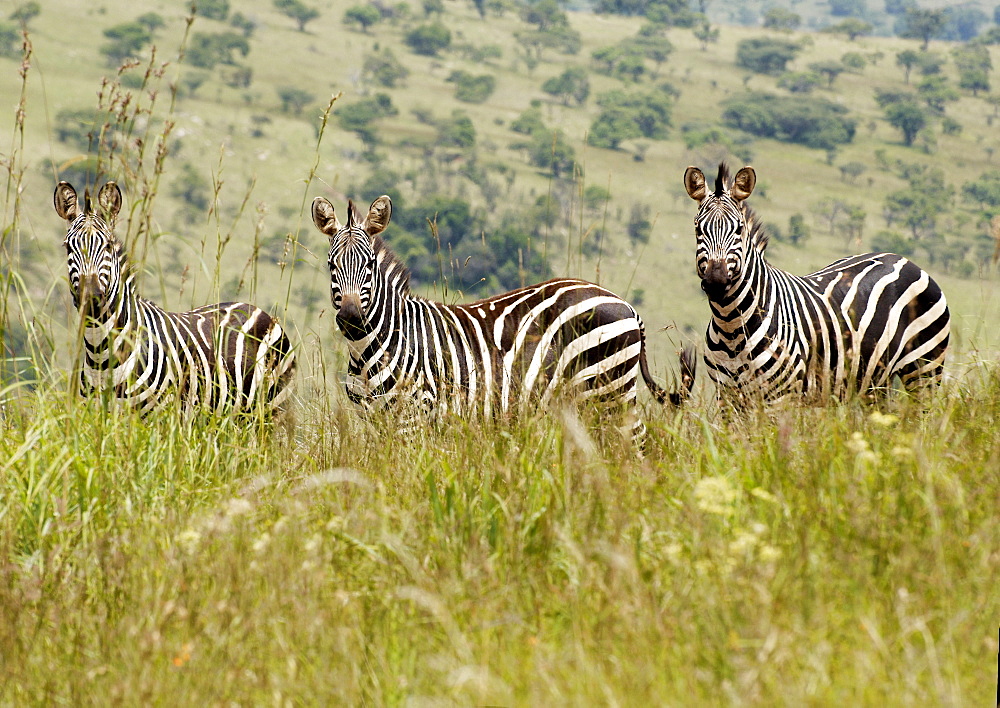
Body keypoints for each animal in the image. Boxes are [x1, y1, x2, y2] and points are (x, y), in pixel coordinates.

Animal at [54, 183, 294, 414]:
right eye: (68, 247)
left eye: (108, 245)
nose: (90, 297)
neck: (101, 355)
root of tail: (255, 309)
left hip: (274, 408)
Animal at [308, 191, 692, 440]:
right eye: (331, 265)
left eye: (370, 265)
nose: (352, 319)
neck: (374, 346)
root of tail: (625, 303)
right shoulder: (375, 419)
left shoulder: (415, 415)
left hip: (610, 389)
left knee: (636, 441)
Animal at [684, 162, 948, 404]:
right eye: (697, 229)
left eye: (739, 229)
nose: (716, 282)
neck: (731, 326)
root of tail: (902, 259)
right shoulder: (727, 398)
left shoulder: (780, 398)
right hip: (875, 381)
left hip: (924, 367)